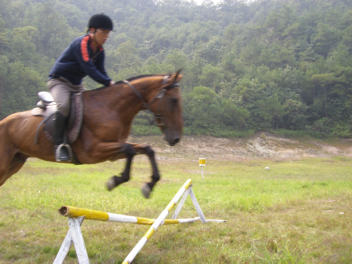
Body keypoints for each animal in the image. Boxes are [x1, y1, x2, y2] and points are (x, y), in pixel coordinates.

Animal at [0, 70, 183, 198]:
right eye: (173, 100)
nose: (176, 138)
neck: (111, 108)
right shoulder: (92, 152)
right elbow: (130, 150)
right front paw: (115, 181)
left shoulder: (115, 150)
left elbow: (146, 149)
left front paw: (149, 185)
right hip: (4, 165)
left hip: (16, 162)